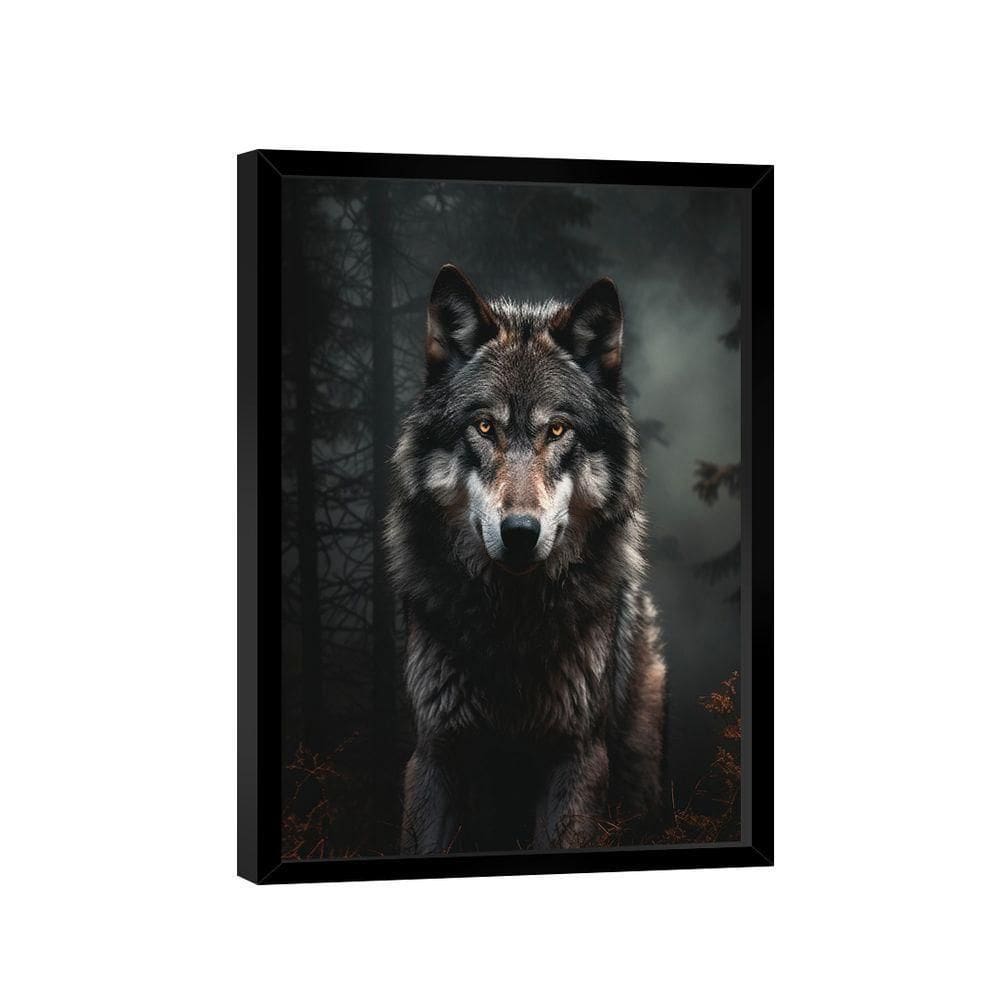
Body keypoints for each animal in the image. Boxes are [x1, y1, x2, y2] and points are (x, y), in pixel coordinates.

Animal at [386, 264, 667, 854]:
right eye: (484, 427)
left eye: (557, 429)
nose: (519, 532)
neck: (511, 623)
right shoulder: (434, 753)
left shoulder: (577, 756)